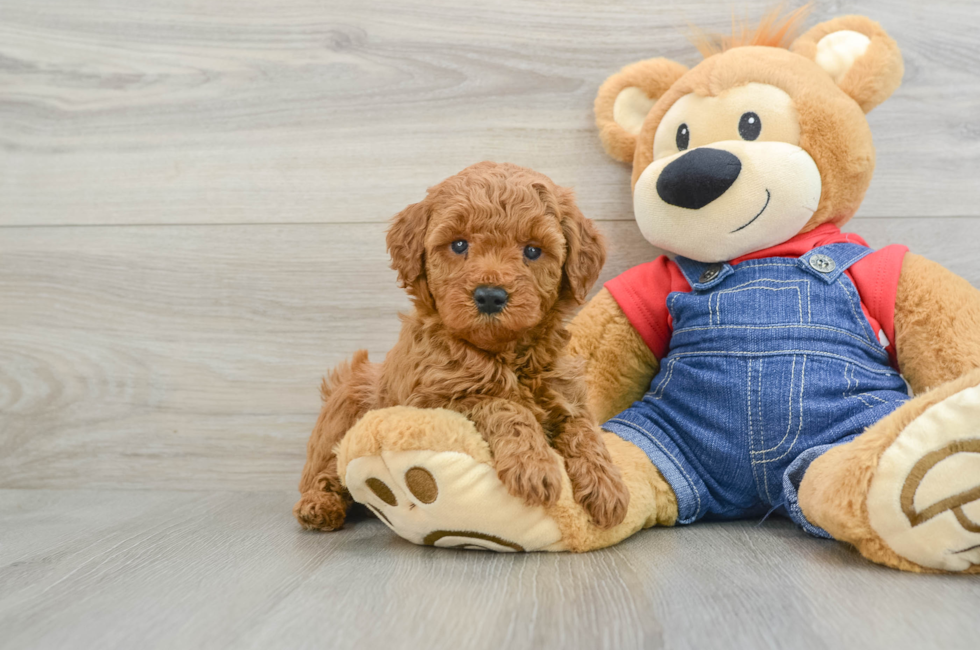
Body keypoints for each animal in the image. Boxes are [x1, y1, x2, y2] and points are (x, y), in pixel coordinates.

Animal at [294, 162, 628, 532]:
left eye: (532, 250)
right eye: (458, 244)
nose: (490, 296)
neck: (502, 354)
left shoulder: (568, 396)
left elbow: (585, 432)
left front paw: (607, 485)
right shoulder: (434, 400)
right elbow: (502, 405)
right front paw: (534, 467)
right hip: (344, 412)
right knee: (323, 471)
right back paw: (318, 506)